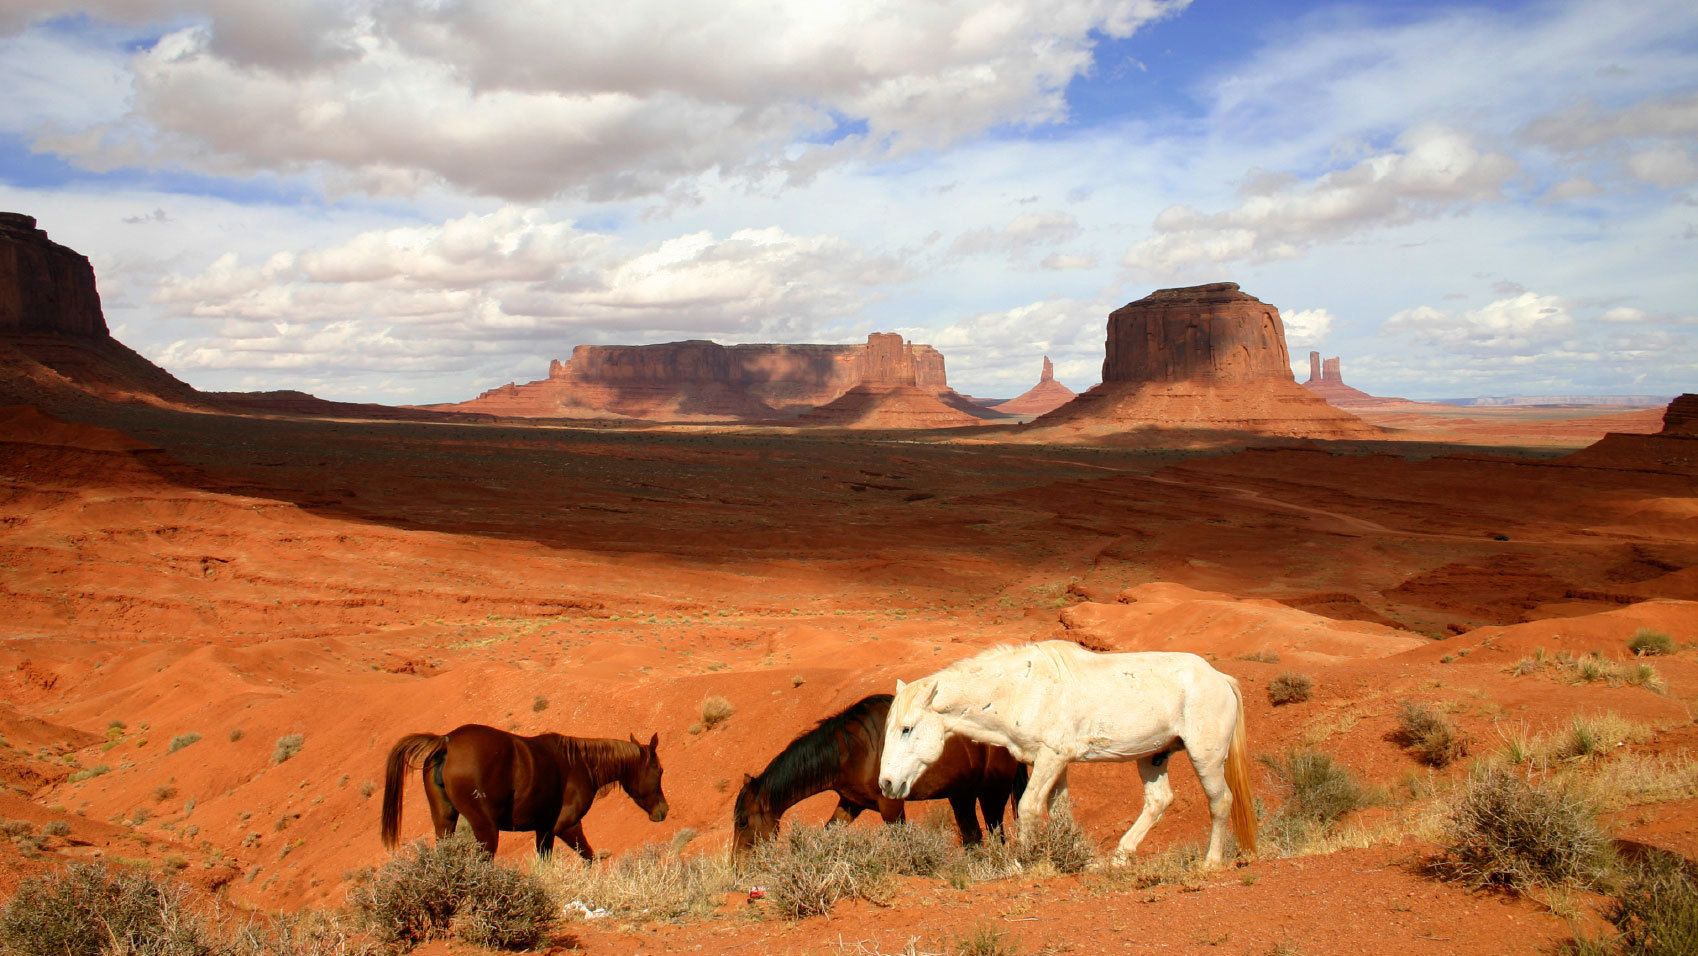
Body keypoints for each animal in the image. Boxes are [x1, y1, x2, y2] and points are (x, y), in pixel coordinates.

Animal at [385, 726, 669, 859]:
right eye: (660, 770)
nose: (663, 811)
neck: (581, 764)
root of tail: (447, 741)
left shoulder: (543, 830)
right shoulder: (566, 826)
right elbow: (588, 857)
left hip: (445, 821)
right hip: (486, 829)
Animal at [730, 692, 1018, 855]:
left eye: (742, 822)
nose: (738, 866)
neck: (852, 750)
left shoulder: (890, 804)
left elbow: (902, 840)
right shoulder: (851, 803)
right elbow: (828, 834)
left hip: (992, 793)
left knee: (996, 834)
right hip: (961, 796)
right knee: (973, 837)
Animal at [882, 641, 1256, 869]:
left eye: (907, 729)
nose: (886, 783)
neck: (1022, 690)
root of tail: (1219, 678)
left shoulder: (1051, 757)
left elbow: (1028, 808)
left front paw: (1022, 862)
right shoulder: (1055, 764)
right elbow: (1060, 813)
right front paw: (1078, 857)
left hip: (1205, 757)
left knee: (1220, 801)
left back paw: (1211, 862)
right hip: (1153, 756)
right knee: (1158, 801)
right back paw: (1119, 857)